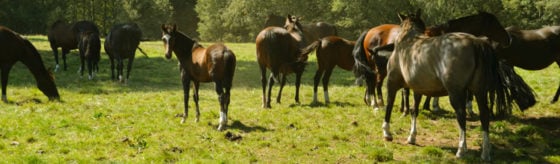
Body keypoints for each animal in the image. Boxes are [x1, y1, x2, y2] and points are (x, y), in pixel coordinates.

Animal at [382, 9, 536, 160]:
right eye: (494, 23)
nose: (508, 39)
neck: (408, 41)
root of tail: (475, 43)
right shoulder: (418, 88)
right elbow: (414, 110)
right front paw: (412, 137)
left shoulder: (392, 82)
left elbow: (389, 104)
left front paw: (387, 133)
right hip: (479, 90)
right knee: (484, 115)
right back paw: (485, 152)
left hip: (455, 92)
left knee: (461, 115)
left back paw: (461, 149)